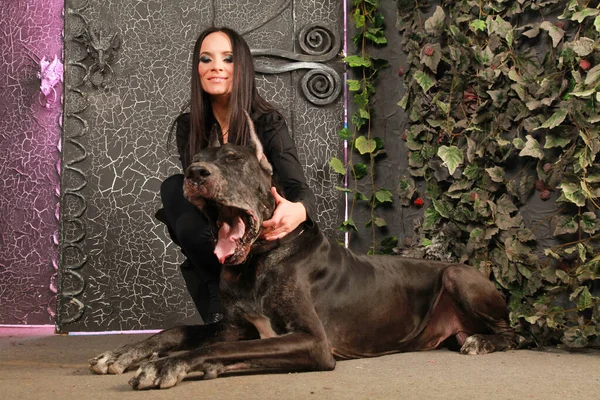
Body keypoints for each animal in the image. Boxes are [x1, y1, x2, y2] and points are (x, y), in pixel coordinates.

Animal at [89, 114, 516, 390]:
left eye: (234, 160)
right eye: (197, 159)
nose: (195, 173)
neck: (259, 259)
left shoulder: (313, 341)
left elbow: (222, 347)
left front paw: (170, 364)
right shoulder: (236, 325)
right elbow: (181, 330)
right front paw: (125, 354)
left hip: (458, 275)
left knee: (516, 331)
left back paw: (484, 342)